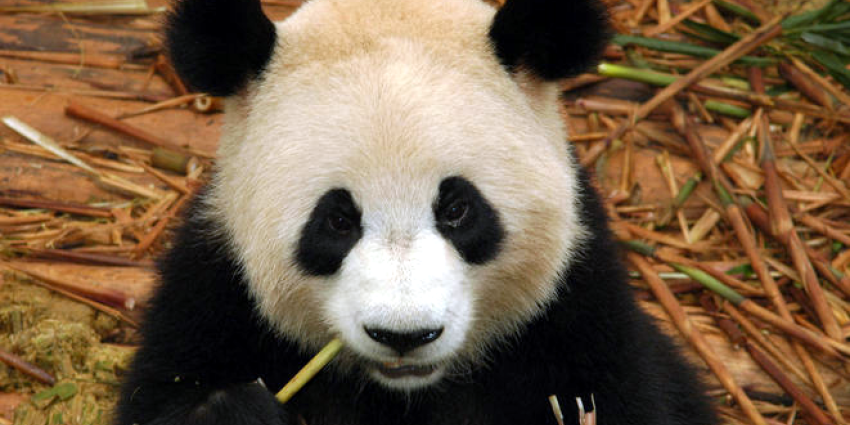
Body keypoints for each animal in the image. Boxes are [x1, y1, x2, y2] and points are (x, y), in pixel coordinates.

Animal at [117, 0, 720, 424]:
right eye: (337, 221)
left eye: (457, 210)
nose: (404, 334)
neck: (407, 389)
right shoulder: (215, 292)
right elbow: (165, 395)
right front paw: (238, 410)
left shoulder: (577, 313)